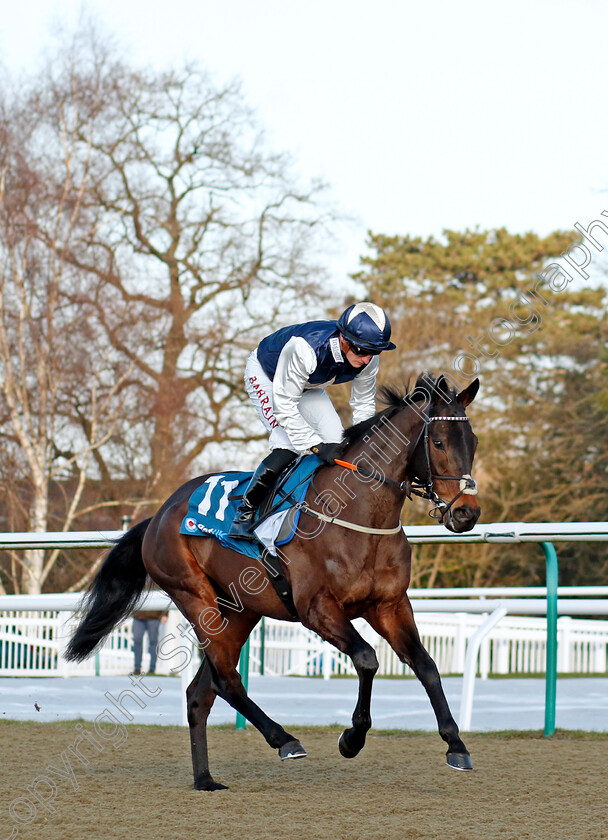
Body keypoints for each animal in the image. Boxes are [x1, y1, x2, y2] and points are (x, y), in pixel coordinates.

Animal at [65, 372, 480, 788]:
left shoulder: (389, 605)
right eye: (438, 441)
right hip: (195, 596)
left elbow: (426, 665)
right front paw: (352, 737)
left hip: (240, 611)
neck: (358, 515)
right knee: (225, 680)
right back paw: (284, 739)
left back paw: (205, 779)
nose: (467, 513)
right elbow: (367, 658)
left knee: (200, 692)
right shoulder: (317, 609)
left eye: (472, 441)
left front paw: (456, 745)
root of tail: (159, 515)